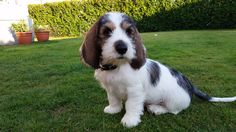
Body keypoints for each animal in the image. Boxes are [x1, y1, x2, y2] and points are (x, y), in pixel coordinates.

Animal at [79, 12, 236, 128]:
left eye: (129, 32)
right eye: (107, 31)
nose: (122, 48)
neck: (117, 66)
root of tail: (189, 85)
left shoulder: (135, 91)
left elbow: (131, 105)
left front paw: (129, 120)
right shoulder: (110, 89)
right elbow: (113, 99)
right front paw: (113, 109)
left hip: (173, 100)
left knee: (174, 110)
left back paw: (156, 109)